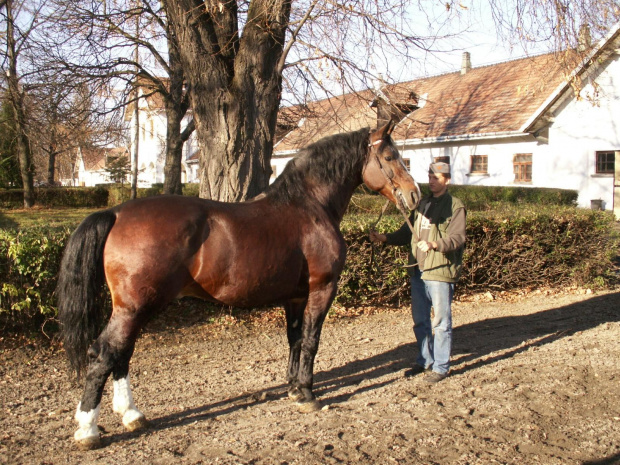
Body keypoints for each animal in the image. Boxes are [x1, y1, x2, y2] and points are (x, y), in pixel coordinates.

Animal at [57, 121, 422, 448]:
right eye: (389, 156)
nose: (414, 194)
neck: (309, 206)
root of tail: (117, 212)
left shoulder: (295, 297)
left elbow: (294, 340)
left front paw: (293, 388)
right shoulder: (322, 289)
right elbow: (311, 341)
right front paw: (307, 393)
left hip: (135, 308)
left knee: (122, 352)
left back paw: (131, 415)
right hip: (135, 307)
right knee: (105, 352)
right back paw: (88, 430)